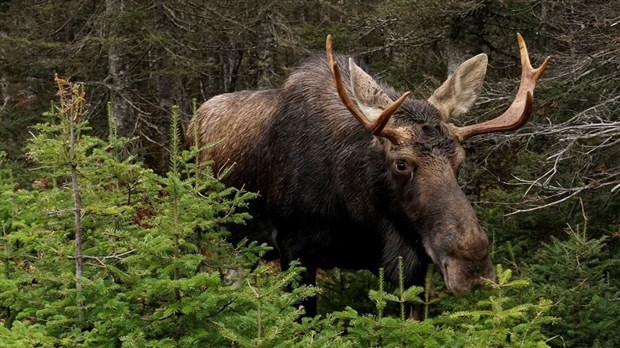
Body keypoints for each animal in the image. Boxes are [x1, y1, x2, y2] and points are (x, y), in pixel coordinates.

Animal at [186, 33, 548, 316]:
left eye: (459, 159)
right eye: (401, 163)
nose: (471, 265)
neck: (356, 213)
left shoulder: (409, 262)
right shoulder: (293, 247)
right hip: (210, 233)